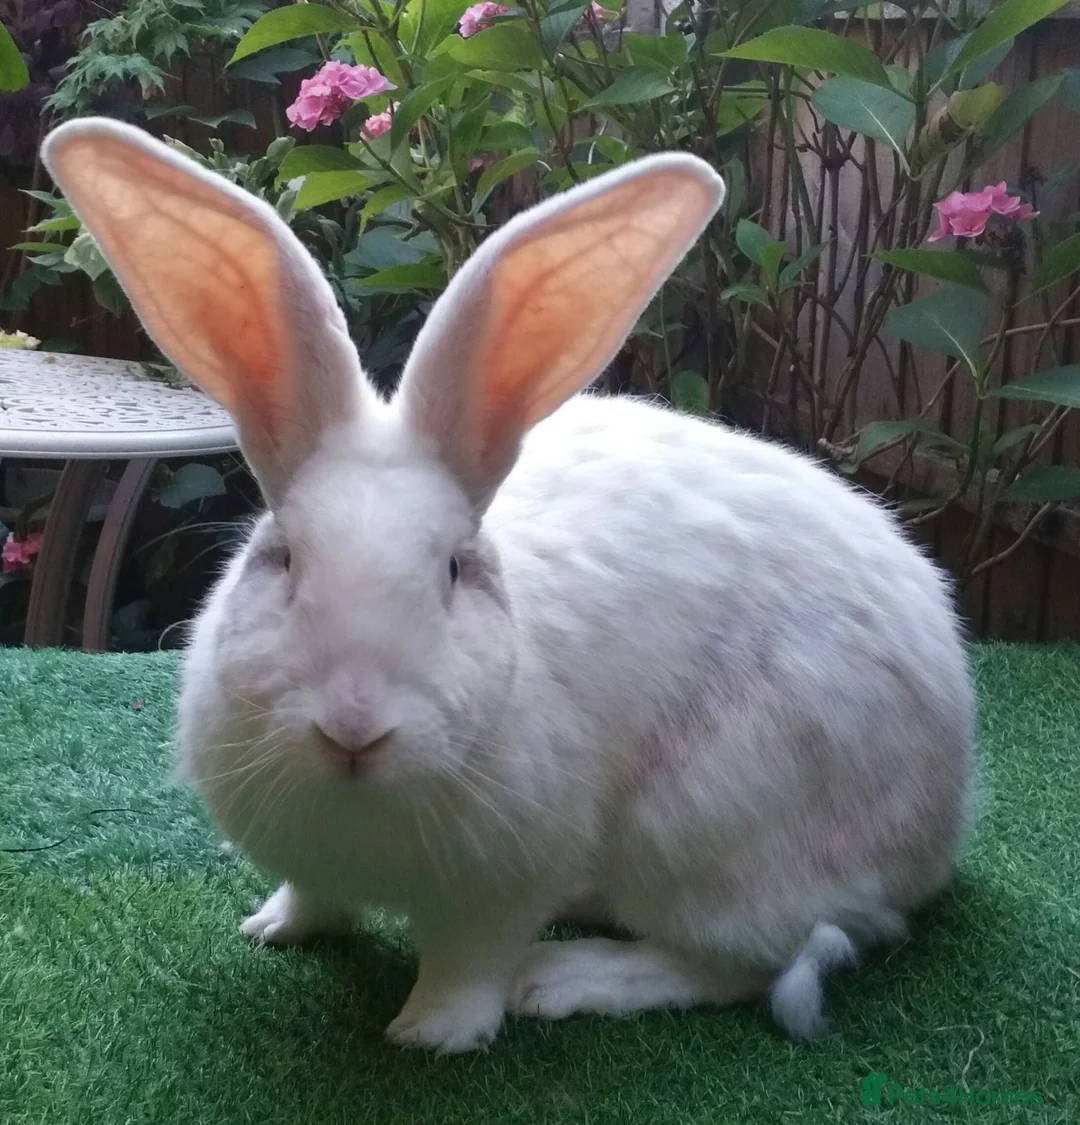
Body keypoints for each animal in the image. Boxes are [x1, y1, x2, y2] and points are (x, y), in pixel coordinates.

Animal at [42, 117, 976, 1054]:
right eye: (285, 559)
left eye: (454, 569)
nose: (353, 728)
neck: (361, 806)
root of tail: (940, 826)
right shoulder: (313, 857)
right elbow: (315, 897)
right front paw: (275, 927)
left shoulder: (505, 884)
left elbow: (470, 959)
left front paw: (431, 1034)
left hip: (713, 826)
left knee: (743, 960)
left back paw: (566, 977)